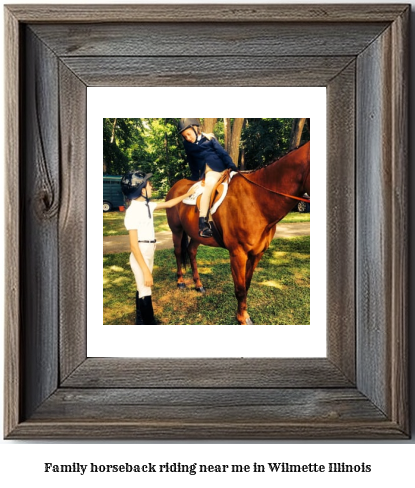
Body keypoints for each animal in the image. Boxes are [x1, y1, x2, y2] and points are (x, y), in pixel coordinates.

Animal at [165, 141, 308, 324]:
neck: (256, 200)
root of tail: (175, 187)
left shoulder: (257, 253)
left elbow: (246, 285)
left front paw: (244, 313)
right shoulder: (238, 254)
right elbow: (240, 289)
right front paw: (242, 318)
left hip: (196, 234)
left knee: (191, 252)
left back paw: (198, 285)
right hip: (176, 230)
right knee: (178, 252)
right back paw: (181, 282)